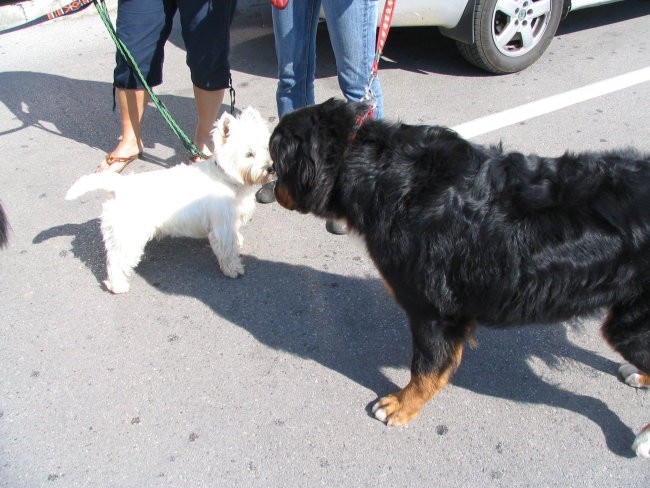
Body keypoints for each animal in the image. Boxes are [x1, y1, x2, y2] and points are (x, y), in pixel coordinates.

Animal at [63, 107, 270, 294]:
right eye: (249, 154)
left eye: (266, 147)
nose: (270, 168)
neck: (228, 178)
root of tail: (120, 186)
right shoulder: (221, 225)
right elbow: (226, 249)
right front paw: (233, 269)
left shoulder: (231, 220)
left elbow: (234, 236)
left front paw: (238, 242)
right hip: (128, 235)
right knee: (117, 260)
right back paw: (118, 286)